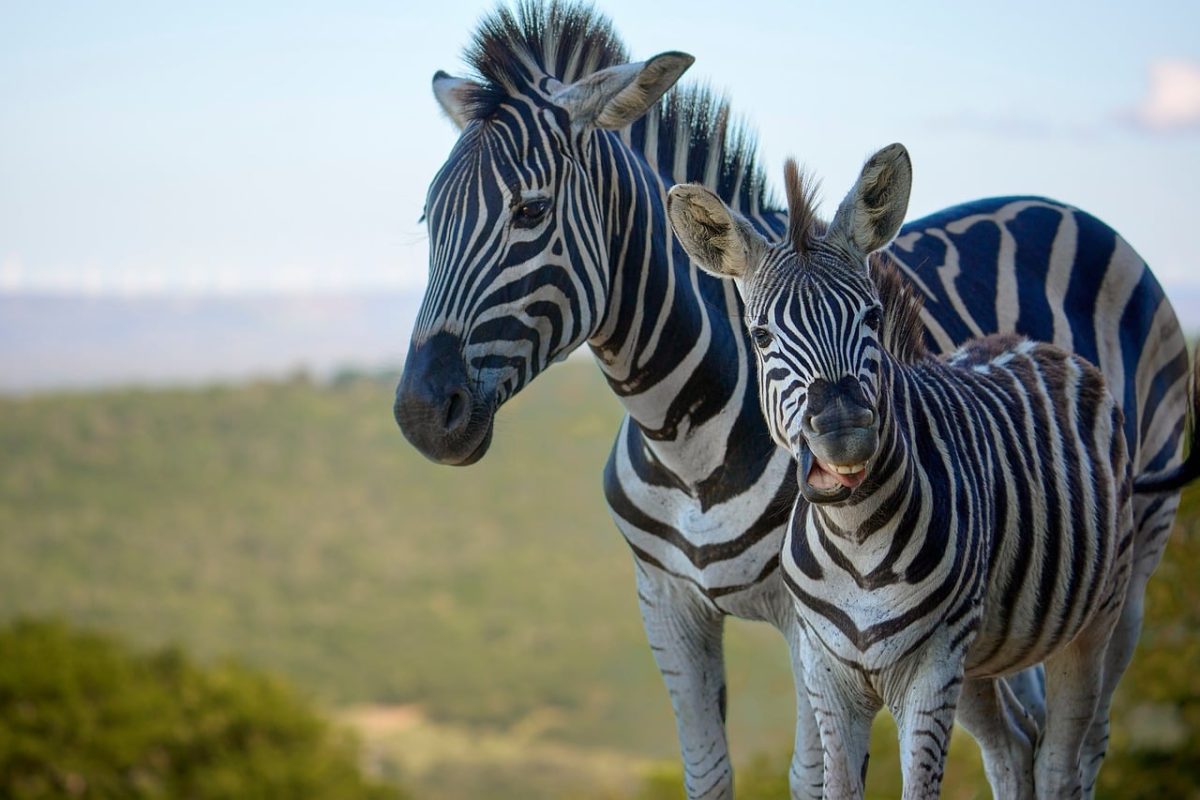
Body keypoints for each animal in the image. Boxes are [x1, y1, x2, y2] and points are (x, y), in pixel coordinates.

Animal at [666, 144, 1200, 799]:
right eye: (762, 335)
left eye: (871, 316)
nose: (842, 428)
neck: (855, 537)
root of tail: (1036, 344)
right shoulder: (829, 671)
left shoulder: (932, 667)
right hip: (983, 655)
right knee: (1013, 749)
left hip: (1103, 610)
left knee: (1065, 758)